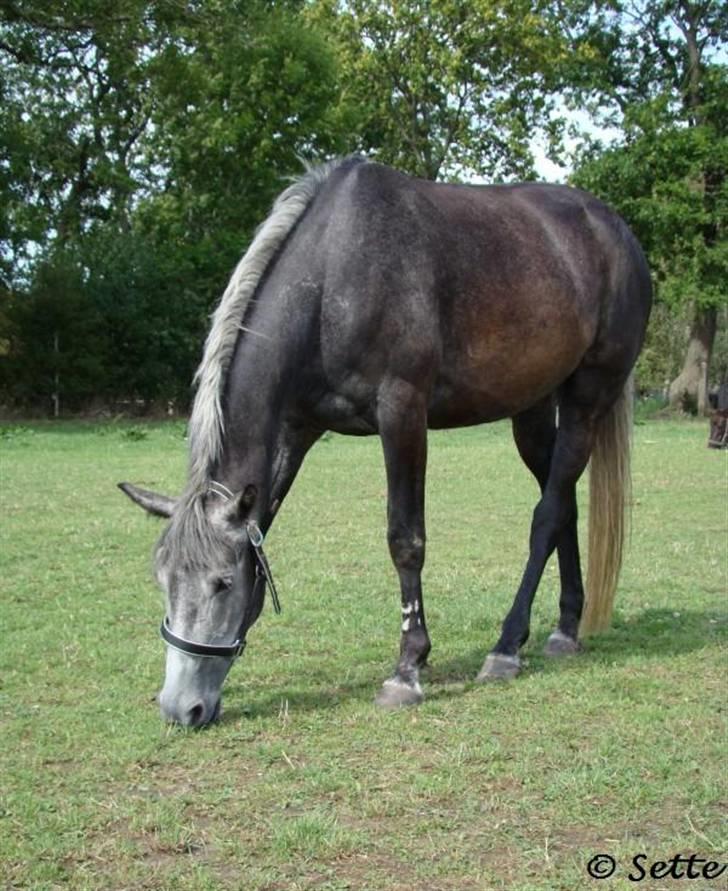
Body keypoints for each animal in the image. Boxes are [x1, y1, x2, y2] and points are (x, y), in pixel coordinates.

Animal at [119, 155, 656, 724]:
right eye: (163, 580)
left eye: (222, 582)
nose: (181, 709)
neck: (332, 276)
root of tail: (614, 230)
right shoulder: (296, 428)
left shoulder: (402, 415)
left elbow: (406, 540)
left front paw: (407, 669)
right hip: (531, 410)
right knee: (563, 502)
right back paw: (565, 628)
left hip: (587, 398)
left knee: (548, 514)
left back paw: (506, 647)